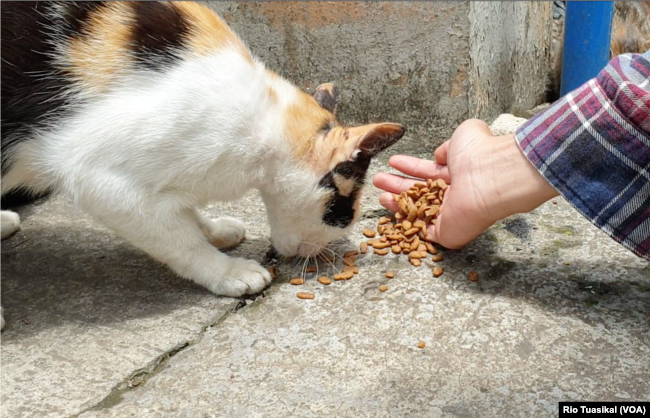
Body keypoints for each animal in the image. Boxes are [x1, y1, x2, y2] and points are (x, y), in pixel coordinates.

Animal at [0, 1, 404, 332]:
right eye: (342, 213)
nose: (325, 250)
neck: (266, 124)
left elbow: (183, 212)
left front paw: (213, 230)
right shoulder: (99, 177)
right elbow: (178, 240)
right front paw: (227, 270)